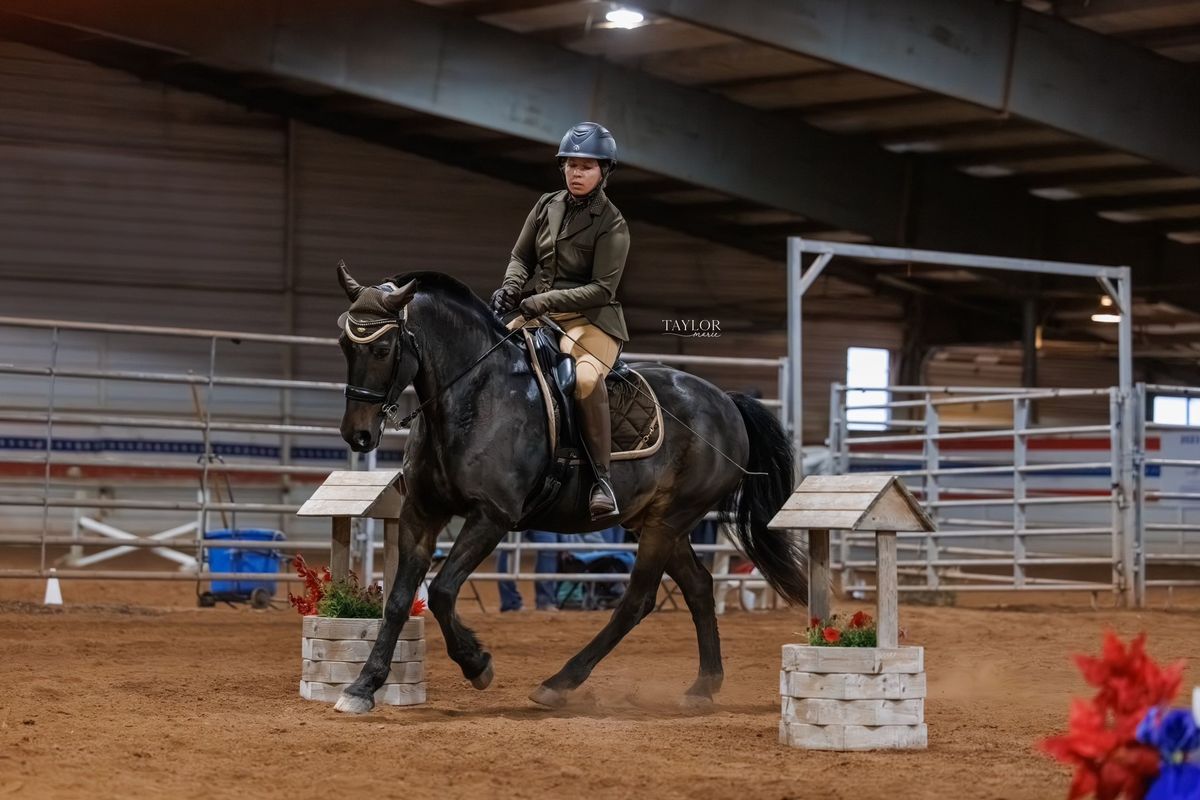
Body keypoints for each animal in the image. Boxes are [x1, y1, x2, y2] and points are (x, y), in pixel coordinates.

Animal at [333, 266, 811, 714]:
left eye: (382, 349)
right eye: (344, 345)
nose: (357, 435)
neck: (475, 395)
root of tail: (727, 401)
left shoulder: (492, 516)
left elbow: (443, 591)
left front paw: (477, 664)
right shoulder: (421, 511)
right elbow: (398, 600)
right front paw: (362, 687)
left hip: (668, 521)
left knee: (637, 601)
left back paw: (559, 683)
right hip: (655, 522)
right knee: (698, 586)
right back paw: (702, 686)